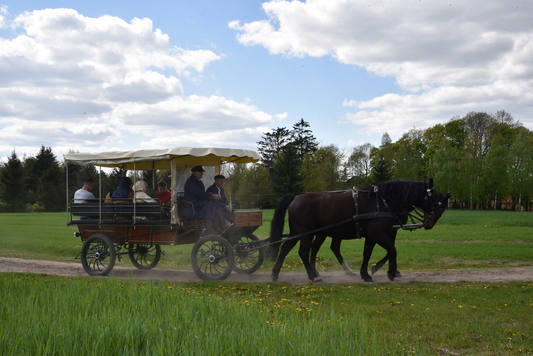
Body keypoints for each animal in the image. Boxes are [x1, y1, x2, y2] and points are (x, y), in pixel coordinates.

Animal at [270, 179, 448, 282]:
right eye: (434, 199)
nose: (431, 221)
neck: (383, 201)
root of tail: (295, 197)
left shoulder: (374, 235)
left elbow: (367, 253)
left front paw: (366, 273)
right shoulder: (379, 233)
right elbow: (392, 249)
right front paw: (390, 272)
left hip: (299, 232)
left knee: (286, 248)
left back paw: (276, 274)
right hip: (307, 233)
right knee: (304, 252)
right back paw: (313, 276)